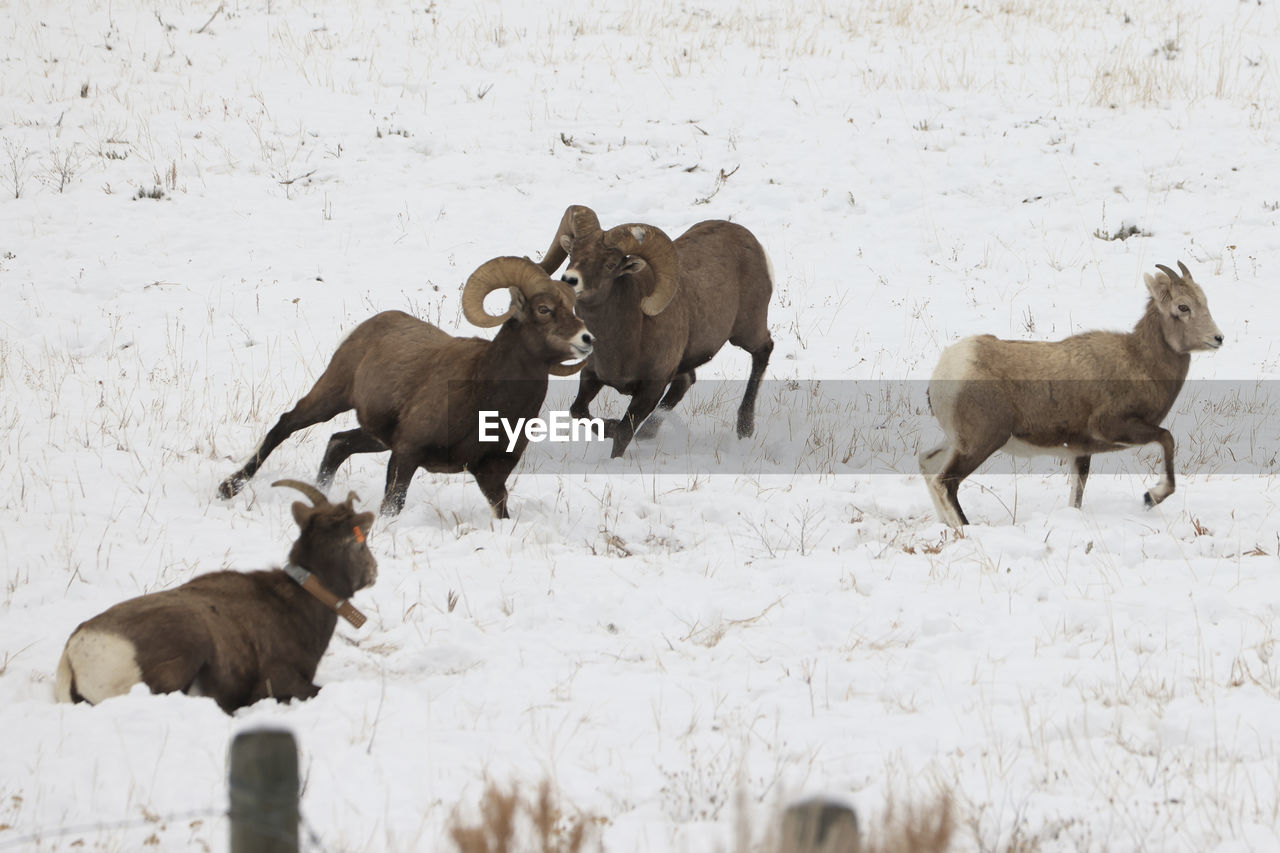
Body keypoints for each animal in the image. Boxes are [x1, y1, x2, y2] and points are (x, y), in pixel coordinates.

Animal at [537, 204, 773, 455]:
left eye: (610, 264)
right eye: (572, 254)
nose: (570, 280)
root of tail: (752, 242)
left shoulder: (651, 388)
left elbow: (623, 434)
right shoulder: (592, 376)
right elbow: (579, 411)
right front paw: (609, 426)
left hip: (746, 332)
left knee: (763, 351)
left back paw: (745, 429)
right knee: (685, 382)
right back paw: (647, 435)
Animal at [916, 258, 1223, 525]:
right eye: (1183, 307)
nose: (1218, 338)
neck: (1139, 361)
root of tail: (948, 368)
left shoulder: (1080, 452)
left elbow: (1076, 495)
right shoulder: (1114, 427)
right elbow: (1167, 439)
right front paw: (1151, 497)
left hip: (958, 441)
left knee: (927, 463)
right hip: (982, 442)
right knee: (946, 482)